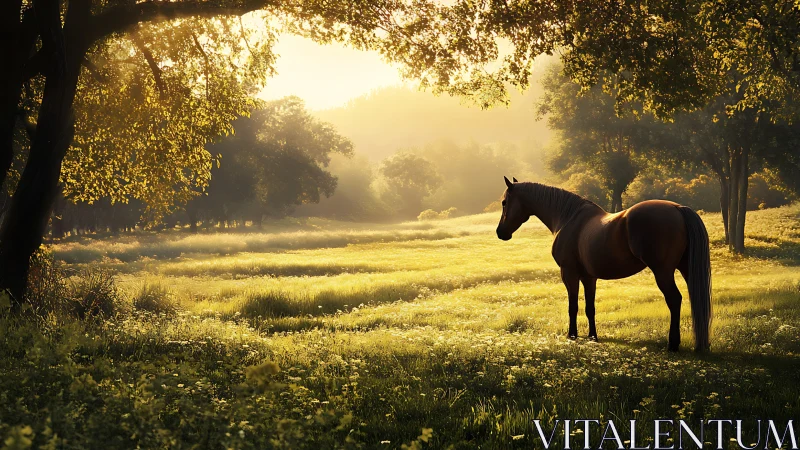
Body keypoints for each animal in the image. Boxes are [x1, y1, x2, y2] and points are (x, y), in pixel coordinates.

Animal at [495, 177, 711, 352]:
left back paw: (672, 344)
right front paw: (592, 337)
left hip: (663, 272)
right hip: (686, 269)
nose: (500, 232)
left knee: (674, 299)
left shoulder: (569, 274)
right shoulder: (589, 277)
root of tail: (678, 208)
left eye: (505, 202)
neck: (568, 218)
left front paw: (572, 336)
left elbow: (573, 306)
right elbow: (590, 308)